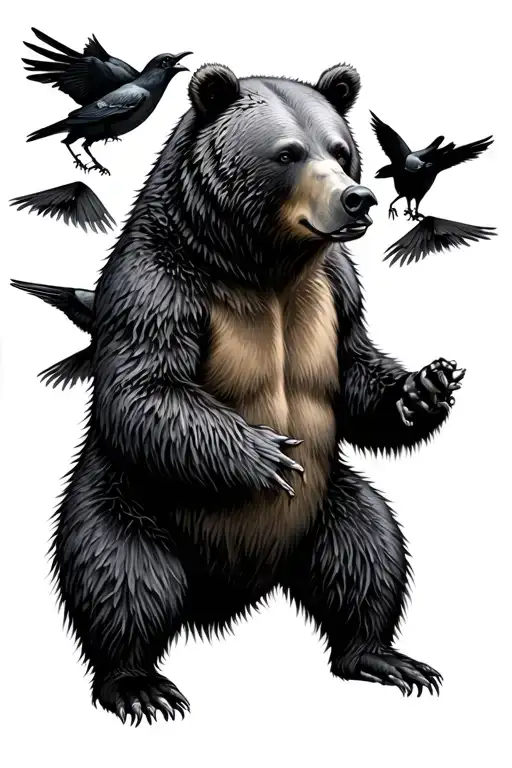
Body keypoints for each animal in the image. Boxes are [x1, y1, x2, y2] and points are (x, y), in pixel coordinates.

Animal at [50, 61, 466, 725]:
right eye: (288, 153)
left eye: (341, 149)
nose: (357, 198)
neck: (263, 266)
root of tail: (226, 599)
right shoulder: (159, 284)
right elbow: (145, 388)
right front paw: (267, 454)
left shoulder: (336, 291)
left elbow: (355, 375)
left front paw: (425, 387)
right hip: (126, 498)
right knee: (124, 574)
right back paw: (137, 682)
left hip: (329, 504)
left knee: (368, 549)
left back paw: (381, 655)